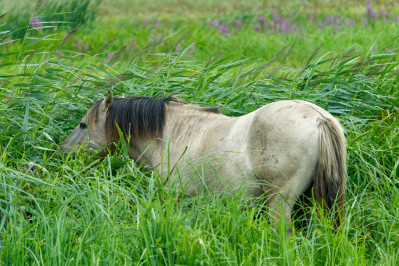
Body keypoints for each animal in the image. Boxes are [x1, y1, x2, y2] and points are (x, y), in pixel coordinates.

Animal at [61, 92, 346, 235]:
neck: (174, 133)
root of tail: (319, 118)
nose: (62, 152)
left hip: (279, 202)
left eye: (83, 125)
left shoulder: (178, 200)